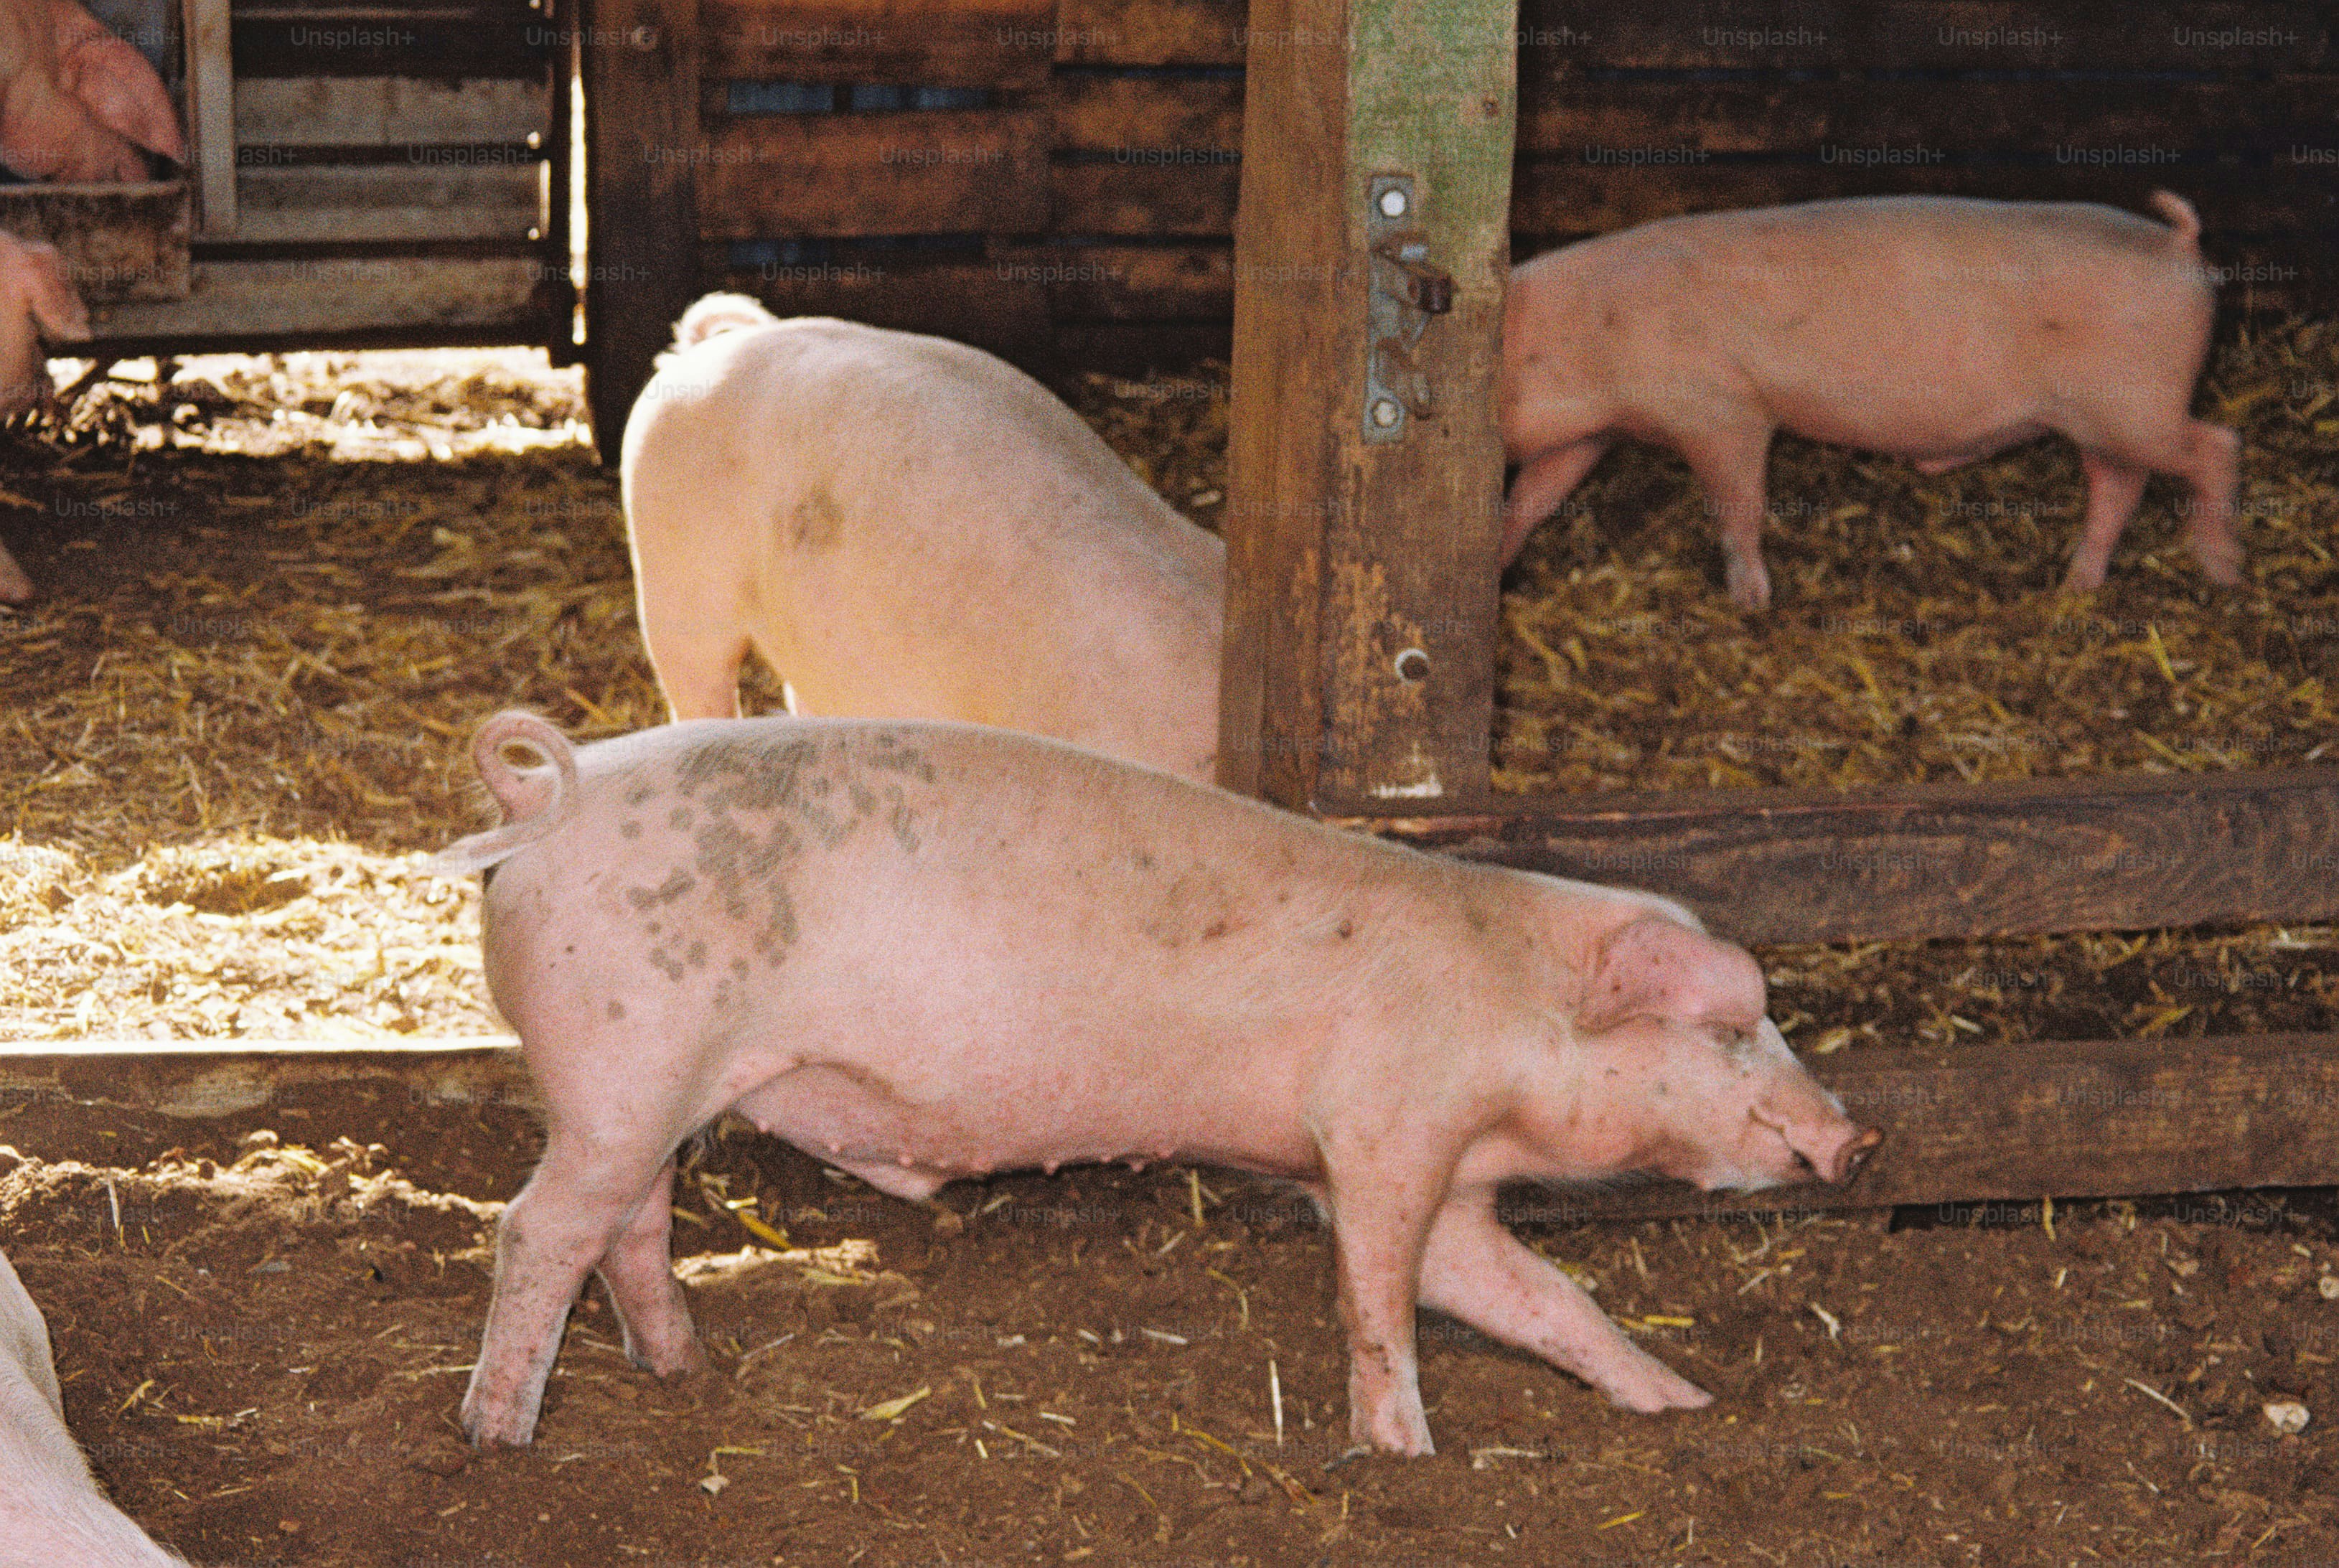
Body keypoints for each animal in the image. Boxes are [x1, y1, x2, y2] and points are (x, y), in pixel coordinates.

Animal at [437, 709, 1879, 1456]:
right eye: (1731, 1030)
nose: (1855, 1143)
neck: (1505, 1006)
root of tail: (547, 801)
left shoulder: (1442, 1188)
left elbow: (1537, 1296)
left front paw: (1683, 1402)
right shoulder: (1380, 1127)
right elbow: (1378, 1300)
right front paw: (1401, 1459)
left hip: (645, 1091)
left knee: (627, 1226)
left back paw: (684, 1372)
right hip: (628, 1065)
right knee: (536, 1229)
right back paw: (497, 1434)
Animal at [1502, 191, 2242, 609]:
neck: (1590, 336)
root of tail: (2177, 244)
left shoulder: (1723, 409)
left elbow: (1737, 506)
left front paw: (1751, 602)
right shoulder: (1589, 433)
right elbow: (1533, 498)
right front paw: (1498, 553)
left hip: (2133, 404)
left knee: (2215, 444)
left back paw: (2220, 568)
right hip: (2100, 421)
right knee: (2119, 485)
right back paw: (2073, 587)